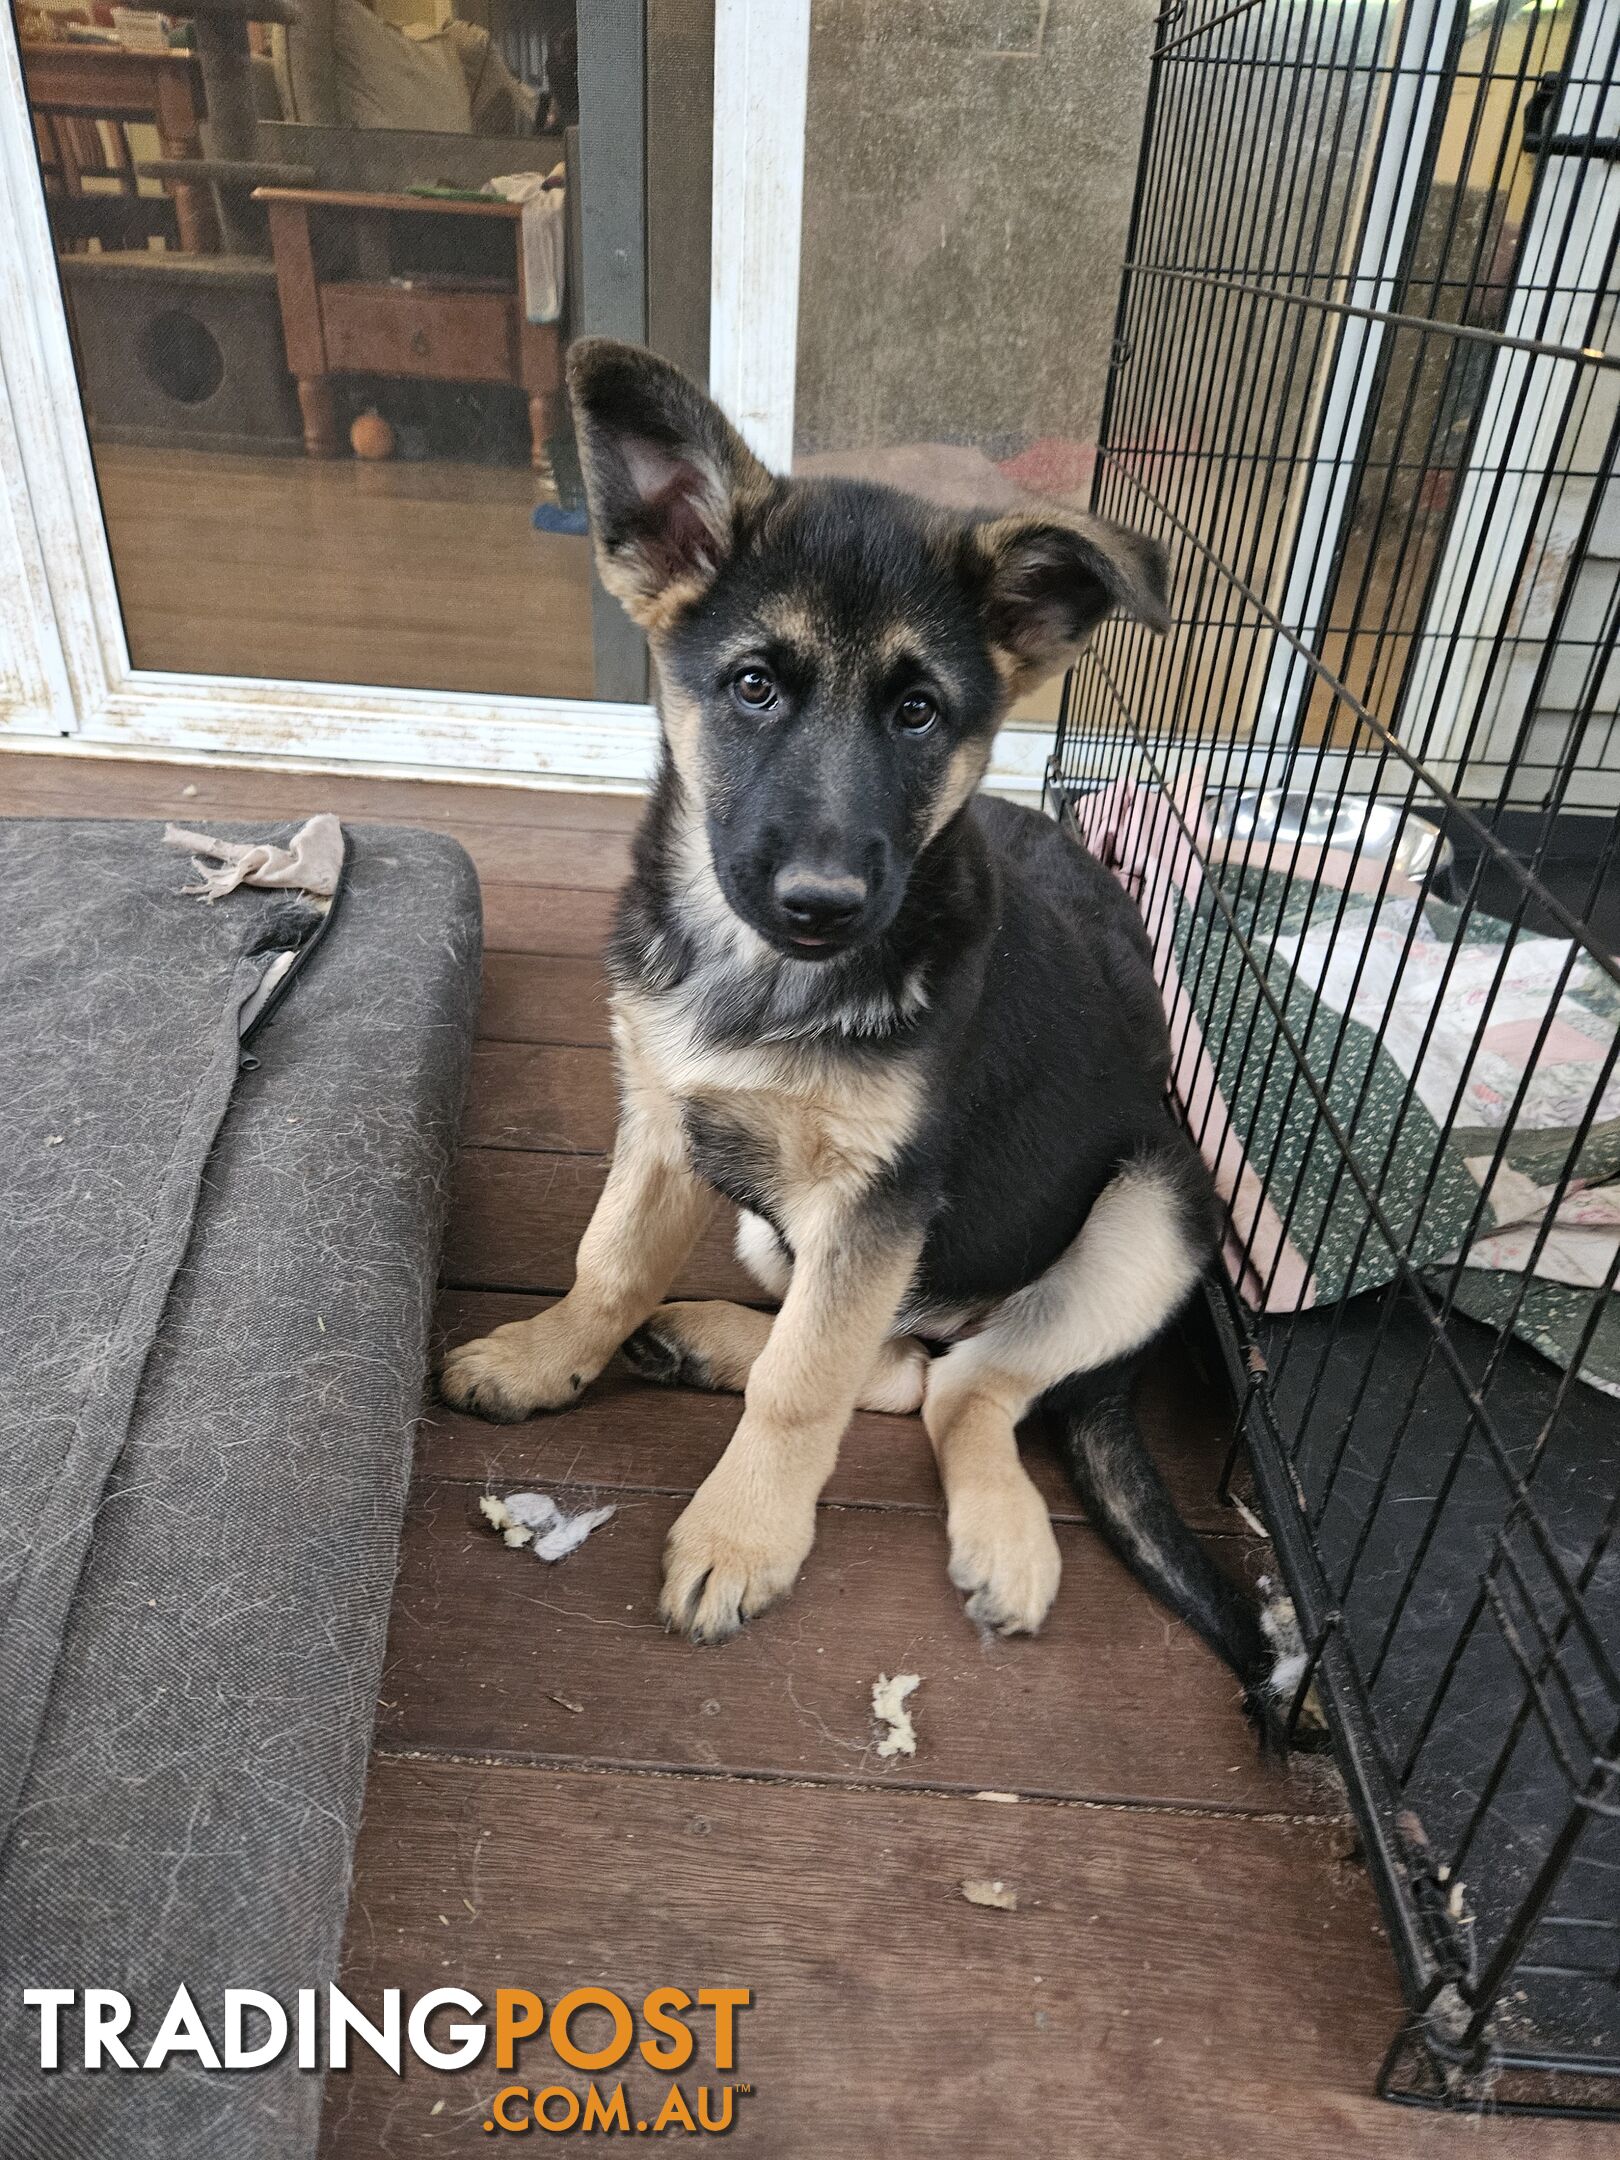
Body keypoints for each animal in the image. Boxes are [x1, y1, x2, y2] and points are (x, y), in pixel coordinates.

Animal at [444, 345, 1304, 1745]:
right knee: (893, 1360)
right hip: (777, 1227)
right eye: (752, 687)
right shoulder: (666, 1119)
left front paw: (742, 1537)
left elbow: (807, 1385)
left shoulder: (881, 1197)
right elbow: (611, 1260)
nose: (822, 903)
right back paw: (702, 1338)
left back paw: (1006, 1538)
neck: (759, 979)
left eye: (917, 713)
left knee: (963, 1386)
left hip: (1157, 1211)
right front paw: (547, 1357)